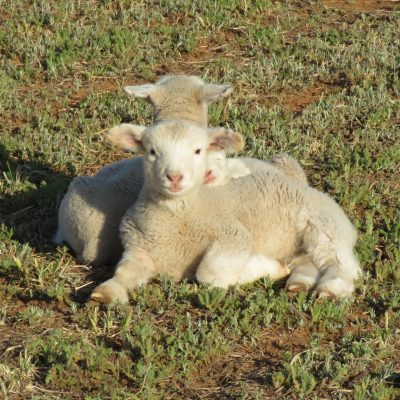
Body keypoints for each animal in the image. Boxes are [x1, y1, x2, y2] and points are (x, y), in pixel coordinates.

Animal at [91, 120, 362, 304]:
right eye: (151, 151)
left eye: (197, 151)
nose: (175, 177)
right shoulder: (138, 249)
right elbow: (124, 272)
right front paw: (106, 292)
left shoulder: (233, 236)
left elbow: (209, 274)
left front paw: (267, 267)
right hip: (299, 244)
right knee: (308, 262)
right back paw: (299, 283)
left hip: (322, 224)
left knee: (342, 265)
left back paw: (330, 289)